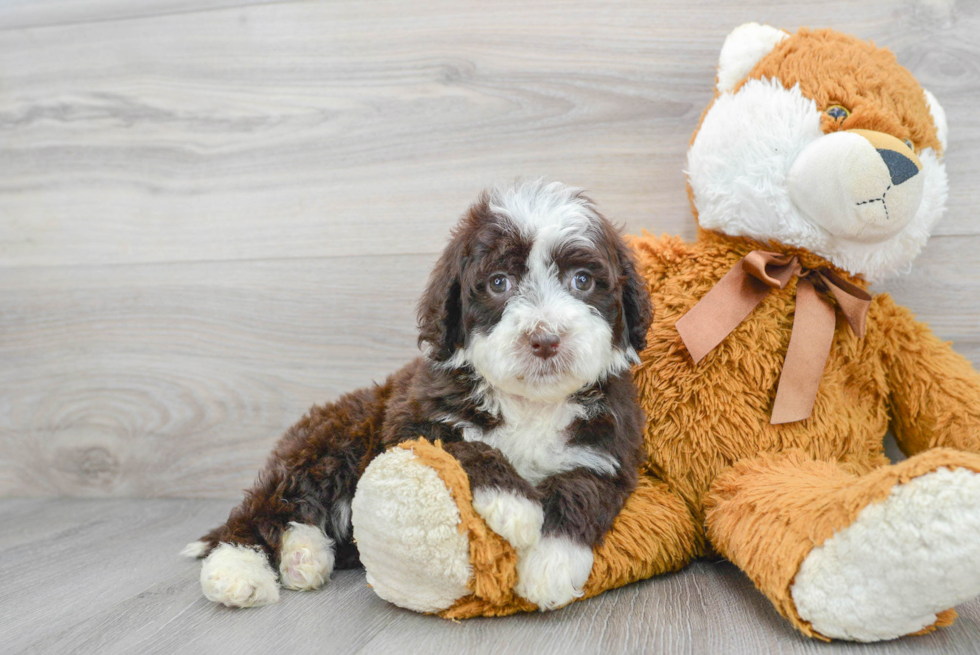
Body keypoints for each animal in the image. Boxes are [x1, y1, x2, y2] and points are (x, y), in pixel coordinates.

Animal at [183, 179, 652, 608]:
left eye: (582, 280)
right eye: (499, 282)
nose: (545, 339)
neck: (529, 403)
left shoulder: (607, 452)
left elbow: (581, 492)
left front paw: (549, 566)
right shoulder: (412, 421)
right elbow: (466, 446)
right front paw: (515, 504)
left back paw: (305, 556)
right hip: (330, 446)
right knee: (263, 512)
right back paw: (238, 570)